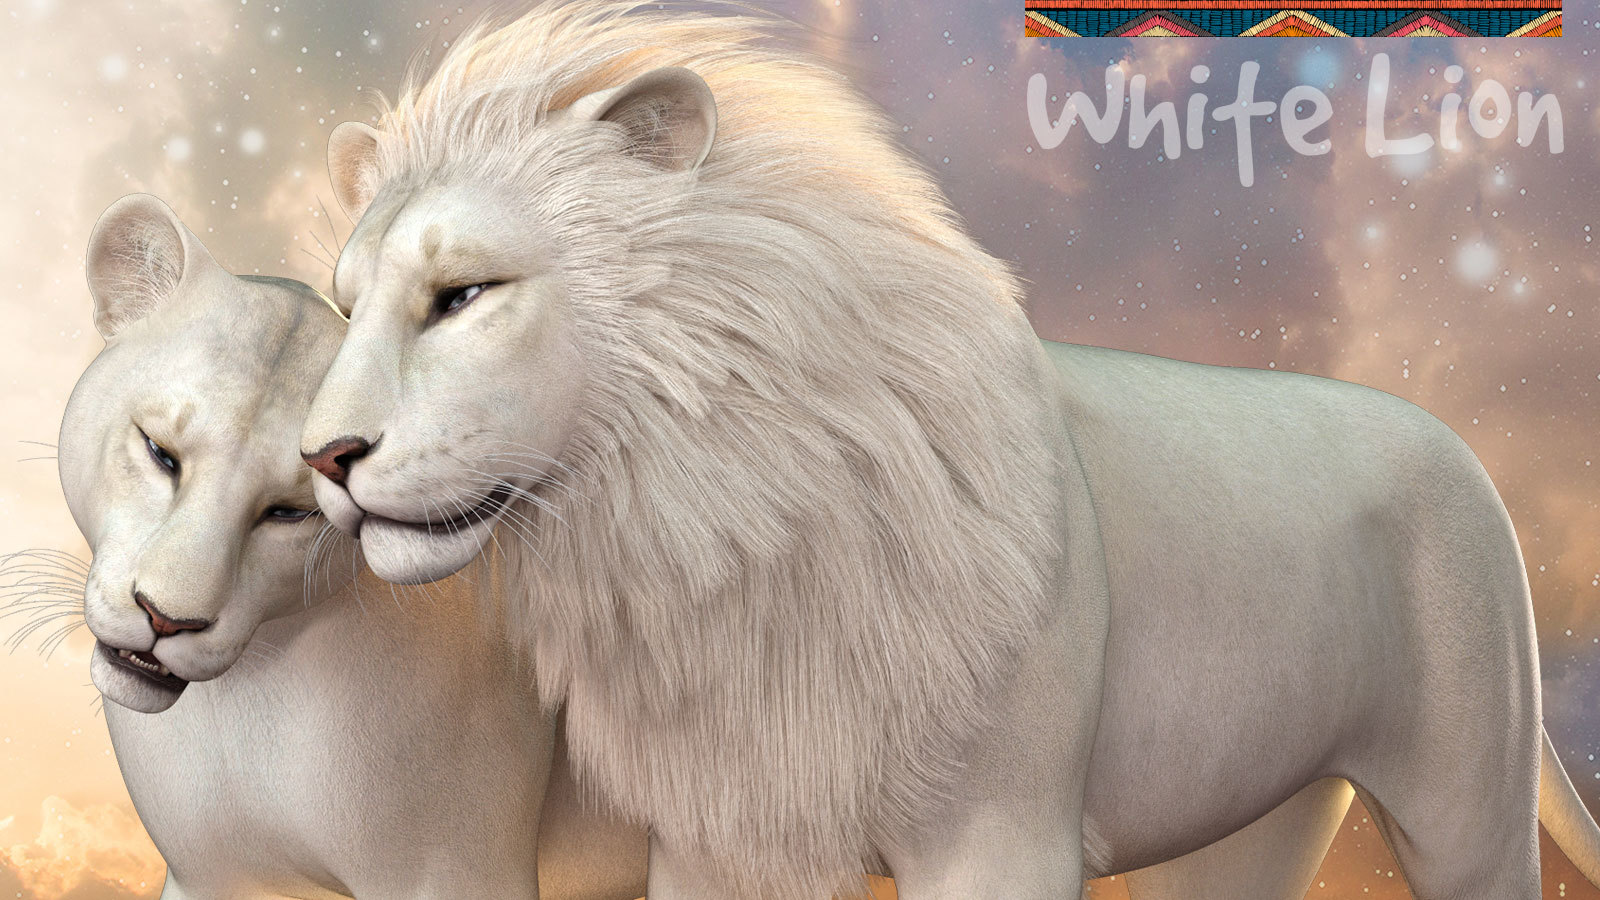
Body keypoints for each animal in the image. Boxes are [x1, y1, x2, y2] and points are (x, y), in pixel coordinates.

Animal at [55, 192, 647, 900]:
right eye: (159, 452)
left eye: (289, 512)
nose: (165, 619)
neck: (242, 707)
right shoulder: (211, 877)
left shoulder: (455, 871)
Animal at [298, 3, 1600, 898]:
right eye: (345, 306)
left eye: (463, 295)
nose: (323, 459)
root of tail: (1448, 438)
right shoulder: (724, 835)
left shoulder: (1001, 833)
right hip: (1244, 824)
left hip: (1464, 810)